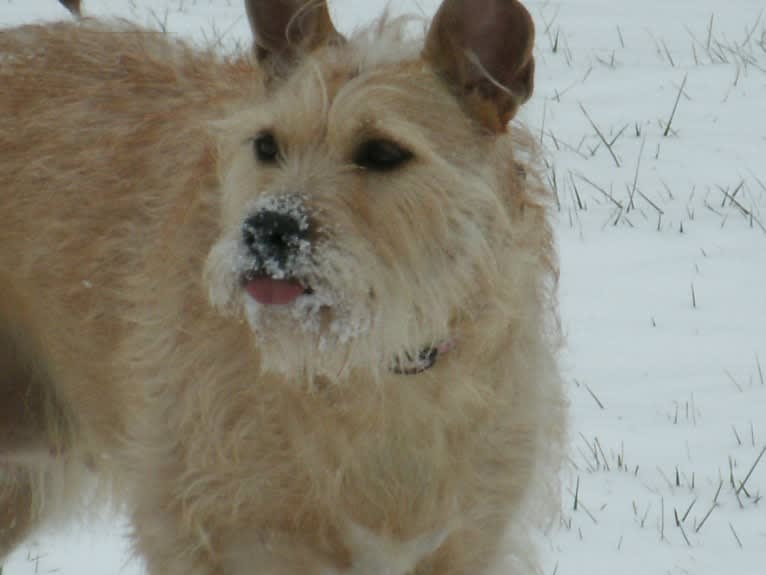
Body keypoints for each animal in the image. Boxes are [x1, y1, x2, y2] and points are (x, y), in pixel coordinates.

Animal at [0, 0, 564, 572]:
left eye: (383, 152)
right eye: (266, 145)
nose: (268, 227)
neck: (374, 365)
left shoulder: (468, 541)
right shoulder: (221, 537)